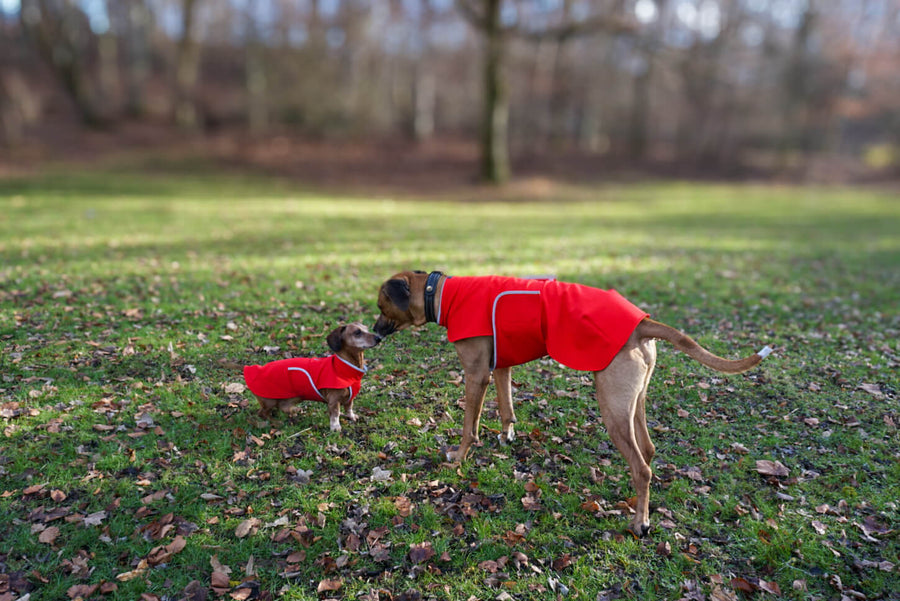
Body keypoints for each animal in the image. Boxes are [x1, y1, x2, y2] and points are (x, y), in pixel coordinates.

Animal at [370, 270, 768, 536]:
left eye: (380, 305)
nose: (372, 333)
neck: (442, 291)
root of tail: (641, 323)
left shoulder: (475, 375)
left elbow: (470, 426)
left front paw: (458, 459)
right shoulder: (501, 368)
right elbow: (506, 406)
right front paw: (506, 436)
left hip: (611, 406)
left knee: (642, 467)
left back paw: (641, 523)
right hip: (633, 401)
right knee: (648, 451)